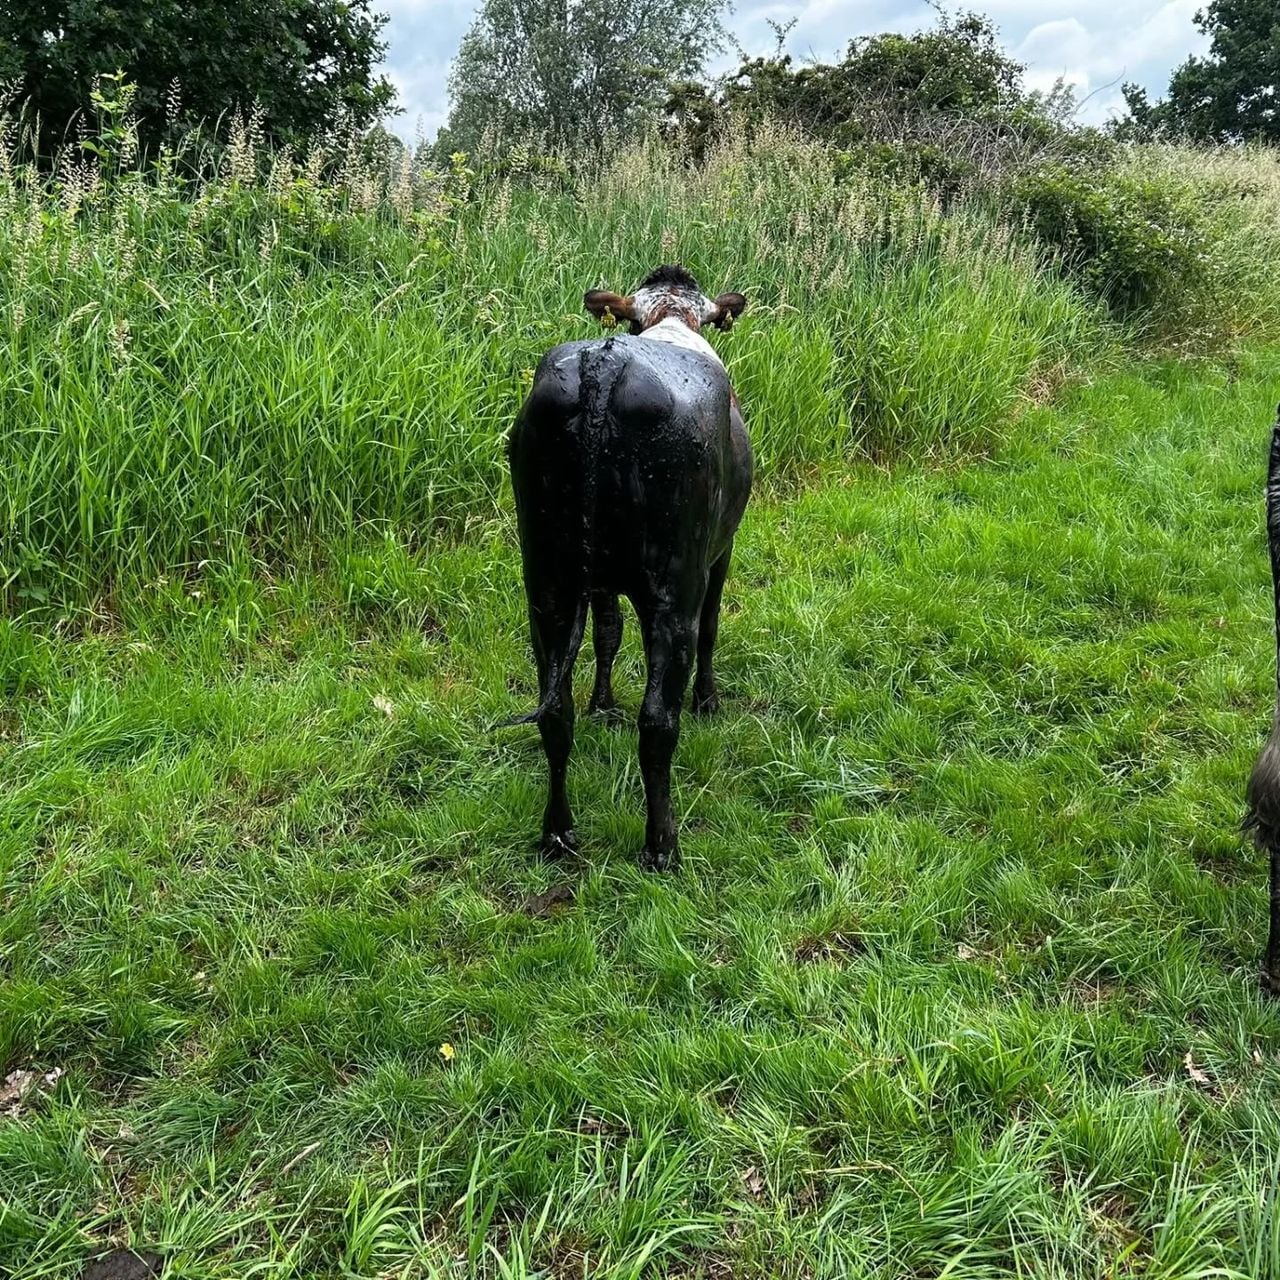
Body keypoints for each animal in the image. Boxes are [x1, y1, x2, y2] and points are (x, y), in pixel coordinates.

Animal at [506, 265, 752, 871]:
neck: (669, 320)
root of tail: (606, 361)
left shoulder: (594, 583)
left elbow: (607, 634)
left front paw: (603, 706)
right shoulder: (721, 548)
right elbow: (712, 627)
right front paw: (709, 700)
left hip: (547, 579)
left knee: (555, 711)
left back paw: (558, 833)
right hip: (671, 588)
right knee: (659, 721)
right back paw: (662, 847)